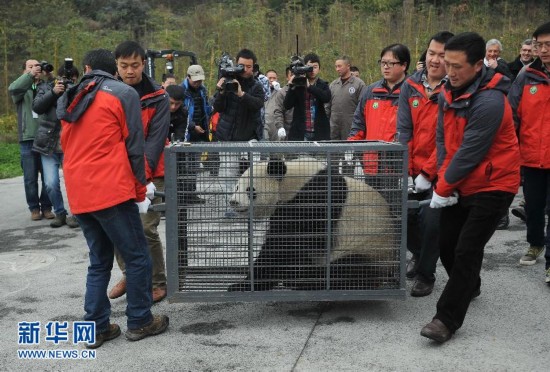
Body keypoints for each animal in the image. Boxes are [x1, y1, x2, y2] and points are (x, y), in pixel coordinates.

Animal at [226, 155, 398, 292]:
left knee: (345, 271)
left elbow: (290, 243)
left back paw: (302, 280)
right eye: (236, 187)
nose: (233, 202)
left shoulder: (316, 200)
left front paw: (245, 284)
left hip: (369, 247)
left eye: (250, 190)